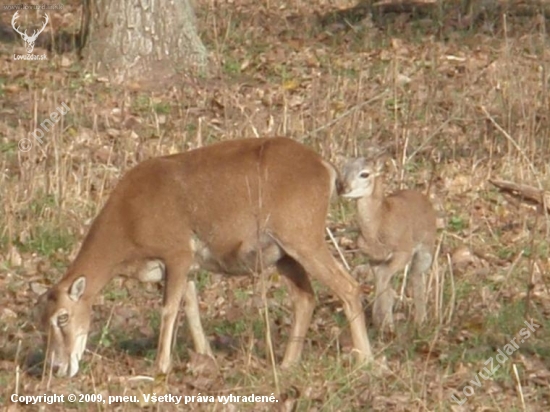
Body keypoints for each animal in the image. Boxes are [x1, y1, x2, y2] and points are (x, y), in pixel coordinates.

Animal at [34, 138, 376, 376]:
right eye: (40, 319)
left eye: (62, 317)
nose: (56, 368)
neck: (127, 227)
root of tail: (326, 168)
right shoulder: (186, 265)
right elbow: (192, 307)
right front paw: (206, 357)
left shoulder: (178, 251)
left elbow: (170, 309)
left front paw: (161, 367)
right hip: (283, 251)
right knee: (305, 297)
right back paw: (287, 364)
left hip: (302, 233)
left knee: (347, 286)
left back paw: (366, 359)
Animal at [340, 150, 436, 334]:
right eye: (344, 169)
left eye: (365, 174)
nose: (342, 187)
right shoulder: (373, 258)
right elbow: (382, 282)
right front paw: (382, 322)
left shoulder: (403, 252)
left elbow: (384, 278)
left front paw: (385, 325)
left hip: (425, 249)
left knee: (416, 277)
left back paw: (420, 321)